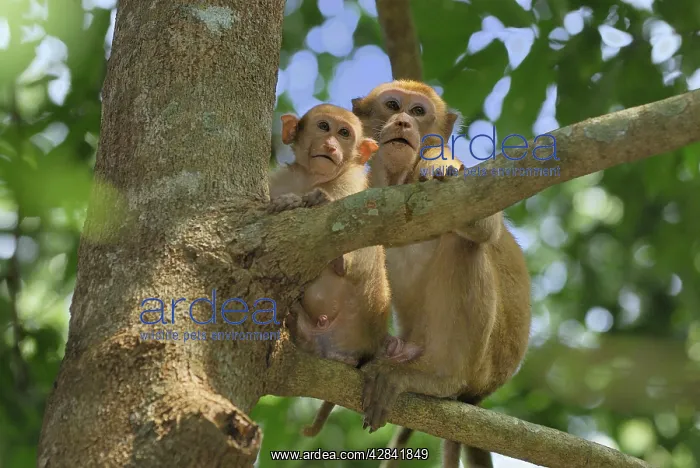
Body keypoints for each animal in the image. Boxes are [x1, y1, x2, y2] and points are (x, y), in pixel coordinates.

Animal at [266, 104, 423, 438]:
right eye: (324, 127)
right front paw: (289, 201)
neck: (311, 178)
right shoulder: (281, 179)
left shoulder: (350, 181)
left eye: (344, 133)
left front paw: (303, 202)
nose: (330, 146)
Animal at [351, 80, 532, 468]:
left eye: (418, 112)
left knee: (463, 243)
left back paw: (438, 376)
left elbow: (482, 223)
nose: (404, 121)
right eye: (393, 105)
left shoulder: (447, 160)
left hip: (479, 364)